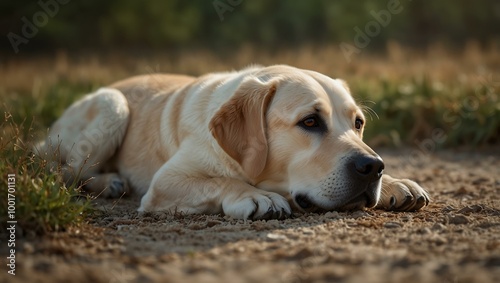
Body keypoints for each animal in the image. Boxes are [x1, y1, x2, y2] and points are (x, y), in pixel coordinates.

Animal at [38, 65, 430, 220]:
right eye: (310, 122)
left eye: (358, 123)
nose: (373, 167)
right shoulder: (165, 182)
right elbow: (219, 181)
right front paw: (255, 196)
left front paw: (396, 183)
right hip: (113, 107)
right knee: (62, 173)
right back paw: (108, 182)